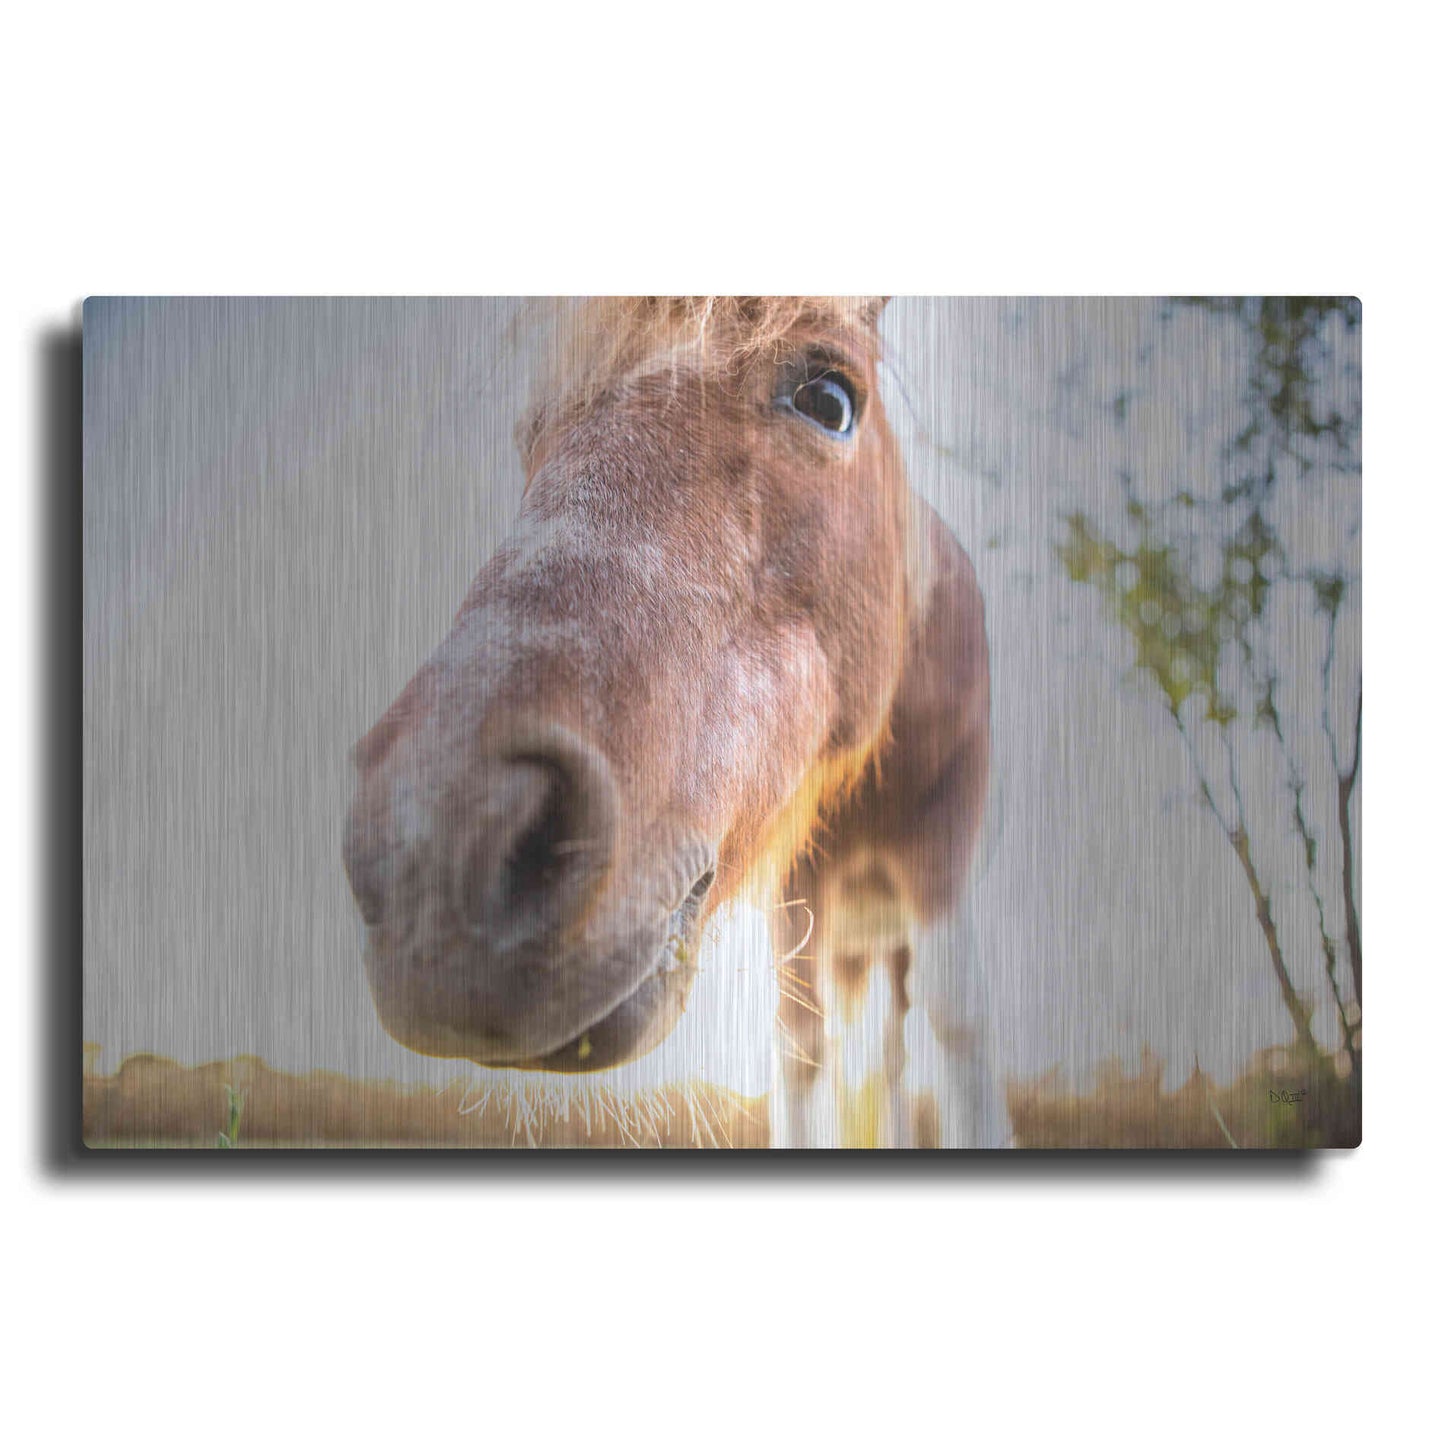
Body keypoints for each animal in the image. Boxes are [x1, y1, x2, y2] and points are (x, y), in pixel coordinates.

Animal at [341, 297, 1012, 1148]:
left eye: (829, 399)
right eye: (532, 433)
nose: (429, 848)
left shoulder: (939, 854)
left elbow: (956, 1028)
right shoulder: (795, 893)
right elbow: (798, 1047)